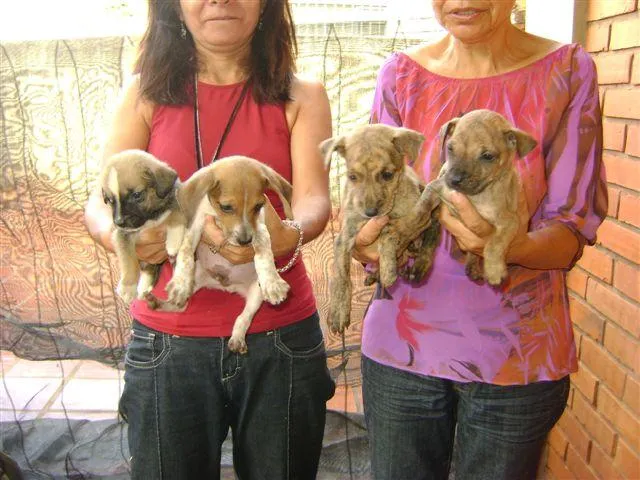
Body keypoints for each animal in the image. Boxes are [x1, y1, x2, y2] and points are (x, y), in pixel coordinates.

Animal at [99, 149, 185, 304]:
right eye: (109, 200)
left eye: (137, 195)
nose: (119, 222)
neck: (150, 216)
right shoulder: (122, 235)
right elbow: (129, 260)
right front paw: (128, 286)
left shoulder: (177, 198)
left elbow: (176, 212)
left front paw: (174, 241)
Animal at [152, 156, 296, 354]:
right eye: (226, 207)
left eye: (259, 206)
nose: (245, 241)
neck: (218, 219)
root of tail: (228, 287)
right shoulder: (196, 225)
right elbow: (186, 252)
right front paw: (180, 282)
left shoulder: (260, 228)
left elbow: (263, 254)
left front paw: (272, 283)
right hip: (196, 279)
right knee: (180, 306)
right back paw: (158, 301)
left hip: (256, 294)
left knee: (244, 317)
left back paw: (237, 339)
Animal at [320, 124, 440, 334]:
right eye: (352, 177)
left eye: (387, 175)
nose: (370, 213)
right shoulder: (345, 235)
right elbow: (341, 274)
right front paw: (338, 310)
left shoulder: (413, 219)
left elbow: (388, 233)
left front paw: (387, 269)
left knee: (433, 234)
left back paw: (417, 266)